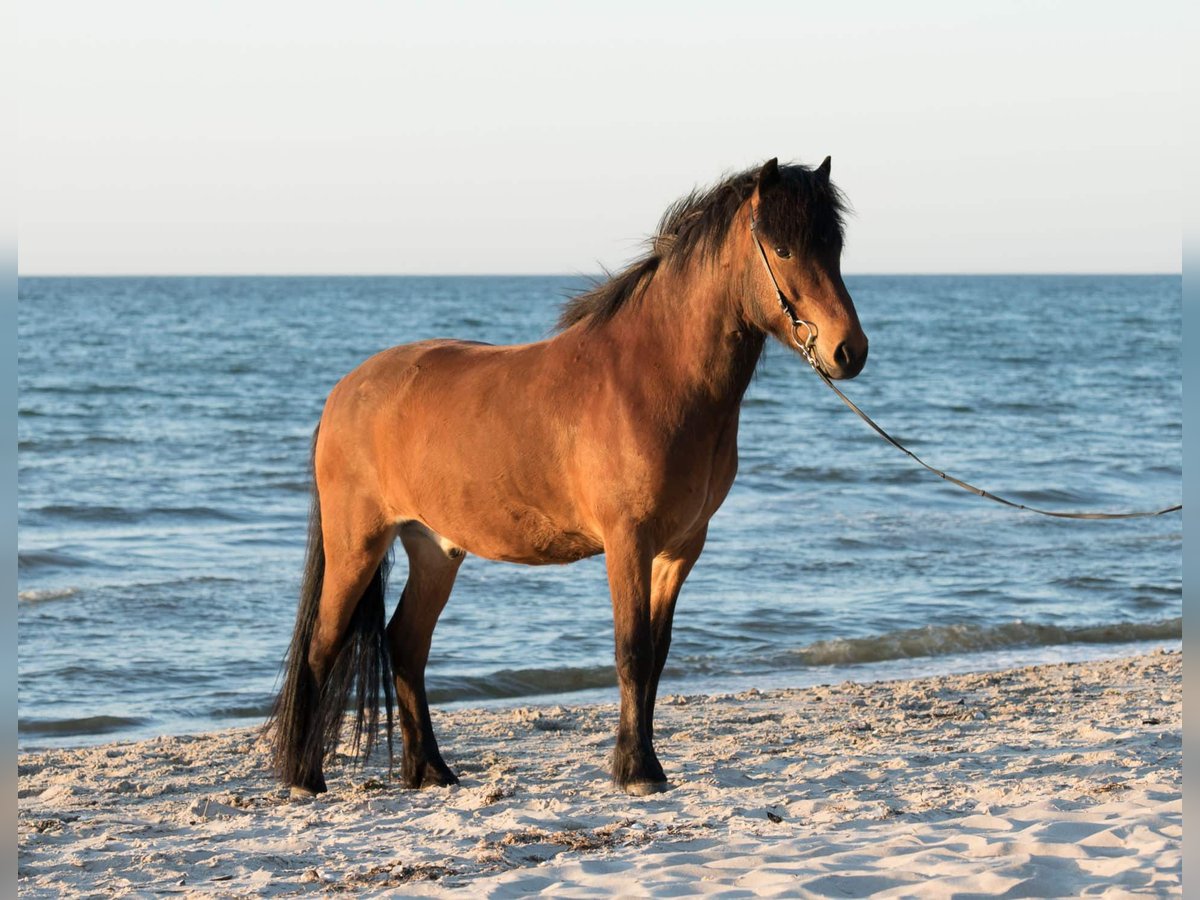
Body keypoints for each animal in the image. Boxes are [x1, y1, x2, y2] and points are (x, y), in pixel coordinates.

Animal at [267, 158, 868, 801]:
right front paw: (636, 770)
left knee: (405, 643)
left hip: (434, 547)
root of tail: (344, 392)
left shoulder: (680, 549)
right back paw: (305, 777)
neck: (655, 376)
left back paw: (431, 771)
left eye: (834, 245)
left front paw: (644, 762)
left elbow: (657, 655)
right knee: (322, 647)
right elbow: (632, 651)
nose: (848, 351)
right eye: (782, 248)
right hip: (357, 544)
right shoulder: (628, 542)